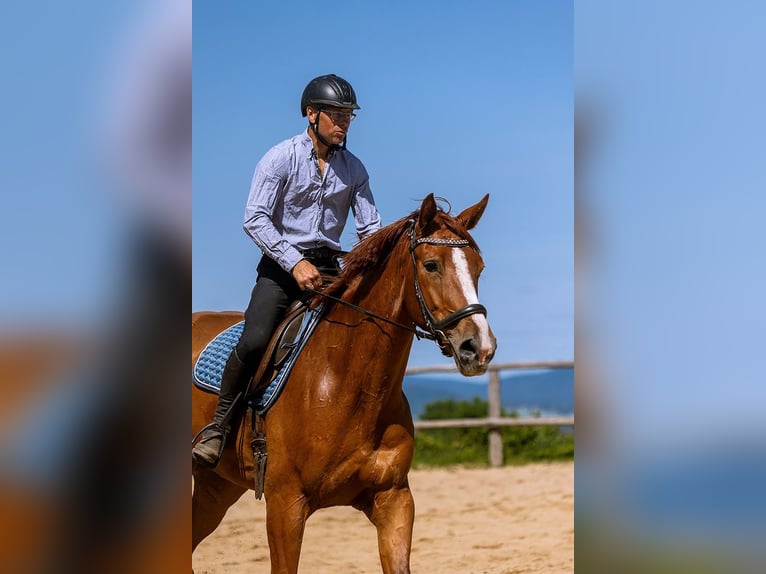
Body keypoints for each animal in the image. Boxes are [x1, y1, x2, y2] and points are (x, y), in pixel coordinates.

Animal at [192, 193, 497, 573]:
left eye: (478, 268)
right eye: (431, 265)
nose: (479, 348)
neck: (347, 385)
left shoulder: (393, 499)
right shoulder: (284, 504)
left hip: (216, 488)